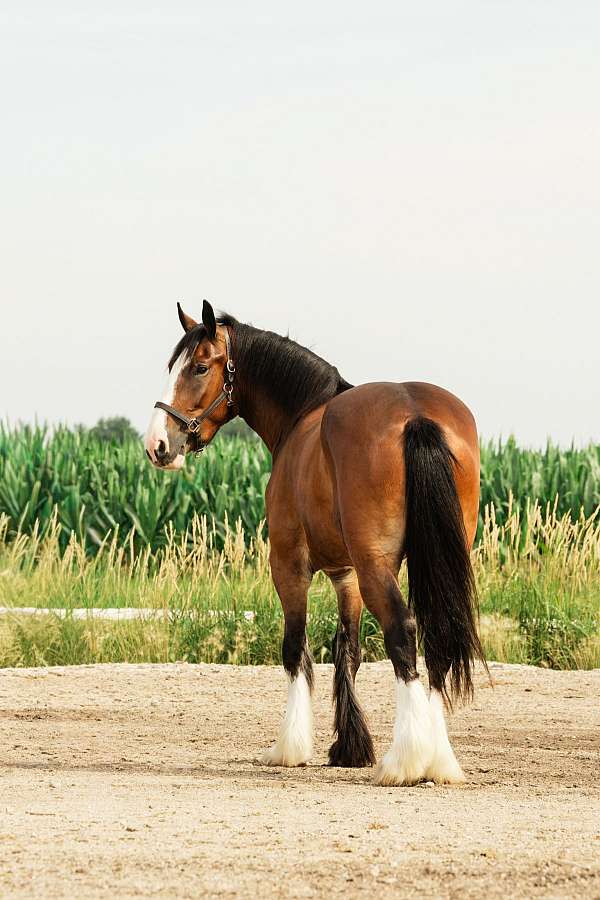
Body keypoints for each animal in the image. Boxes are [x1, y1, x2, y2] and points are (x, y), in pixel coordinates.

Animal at [145, 300, 485, 786]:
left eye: (199, 366)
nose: (158, 444)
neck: (303, 416)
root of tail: (414, 414)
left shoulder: (289, 563)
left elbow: (295, 649)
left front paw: (289, 747)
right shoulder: (347, 574)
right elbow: (348, 651)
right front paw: (349, 746)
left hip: (376, 564)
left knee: (402, 633)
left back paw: (405, 760)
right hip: (432, 559)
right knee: (438, 634)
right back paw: (439, 760)